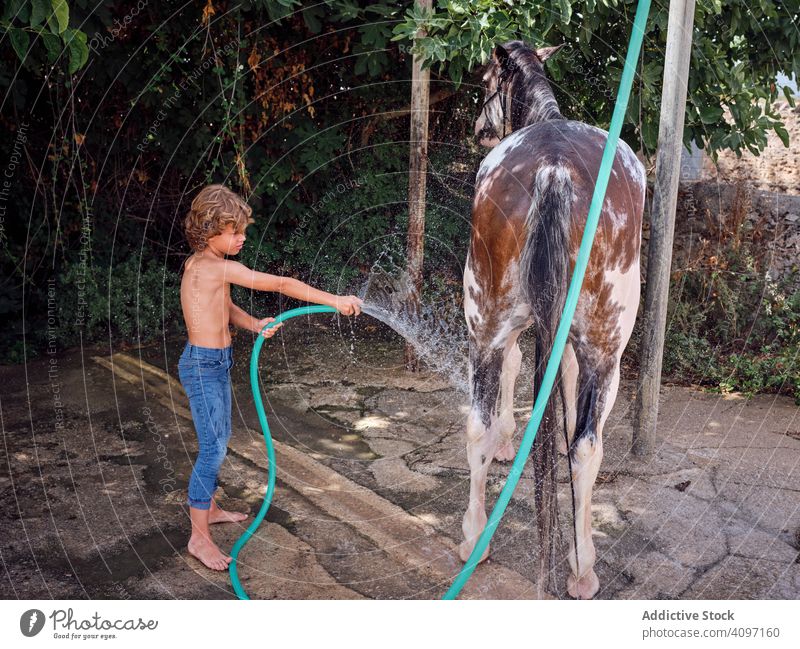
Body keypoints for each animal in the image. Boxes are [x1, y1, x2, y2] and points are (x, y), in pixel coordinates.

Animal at [462, 40, 644, 596]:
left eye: (484, 82)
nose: (477, 128)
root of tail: (554, 169)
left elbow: (517, 371)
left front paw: (507, 441)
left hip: (486, 320)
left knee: (479, 421)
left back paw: (475, 537)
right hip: (603, 350)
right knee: (586, 447)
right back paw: (580, 566)